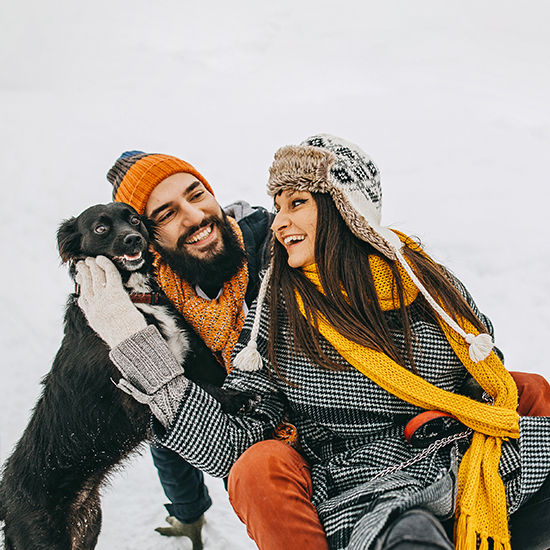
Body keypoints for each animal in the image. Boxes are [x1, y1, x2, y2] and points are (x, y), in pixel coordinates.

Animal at [0, 204, 254, 550]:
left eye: (134, 219)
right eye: (101, 229)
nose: (133, 238)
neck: (137, 298)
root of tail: (5, 496)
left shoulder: (193, 360)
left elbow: (208, 378)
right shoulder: (135, 397)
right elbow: (200, 387)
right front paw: (239, 397)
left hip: (87, 526)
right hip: (45, 538)